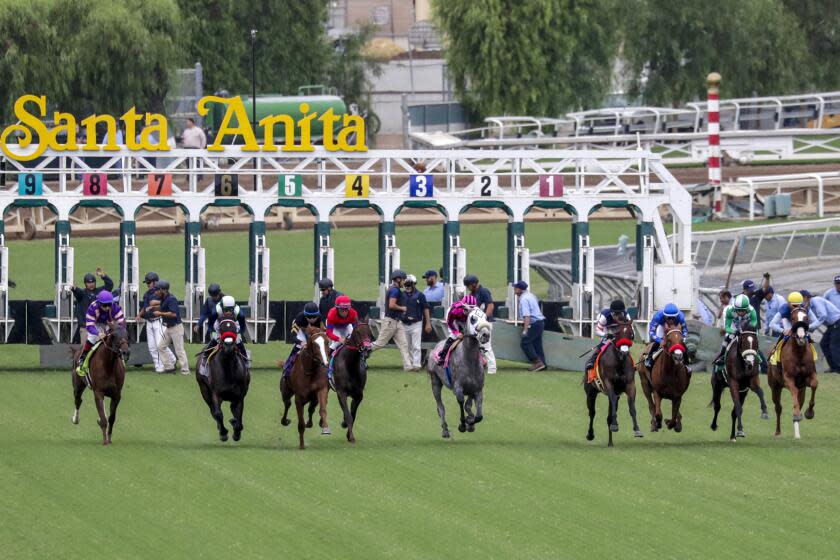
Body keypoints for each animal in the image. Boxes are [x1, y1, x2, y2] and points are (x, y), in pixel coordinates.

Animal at [426, 306, 492, 438]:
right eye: (473, 318)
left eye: (486, 317)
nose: (485, 334)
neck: (469, 361)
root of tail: (435, 347)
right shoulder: (458, 388)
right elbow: (461, 403)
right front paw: (463, 424)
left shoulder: (477, 389)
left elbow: (478, 415)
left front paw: (470, 422)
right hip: (435, 381)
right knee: (441, 407)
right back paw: (445, 430)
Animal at [772, 306, 816, 438]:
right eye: (793, 318)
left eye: (806, 318)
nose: (801, 337)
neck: (799, 353)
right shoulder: (788, 378)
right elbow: (794, 392)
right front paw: (797, 415)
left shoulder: (810, 376)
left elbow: (814, 384)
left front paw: (809, 412)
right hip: (775, 386)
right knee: (778, 407)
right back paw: (778, 432)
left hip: (802, 388)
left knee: (799, 401)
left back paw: (797, 433)